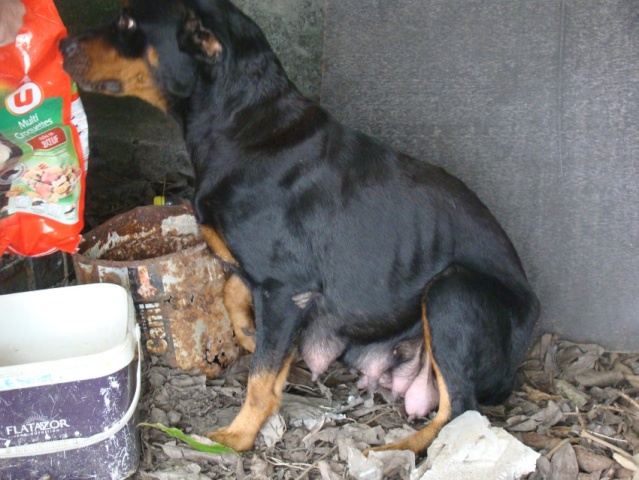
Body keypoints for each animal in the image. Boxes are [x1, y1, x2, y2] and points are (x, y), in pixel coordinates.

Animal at [58, 0, 540, 454]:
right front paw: (248, 334)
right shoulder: (268, 281)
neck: (244, 124)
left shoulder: (287, 288)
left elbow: (260, 380)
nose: (62, 44)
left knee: (460, 409)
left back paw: (396, 449)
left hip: (451, 290)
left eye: (127, 22)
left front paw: (236, 436)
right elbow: (231, 292)